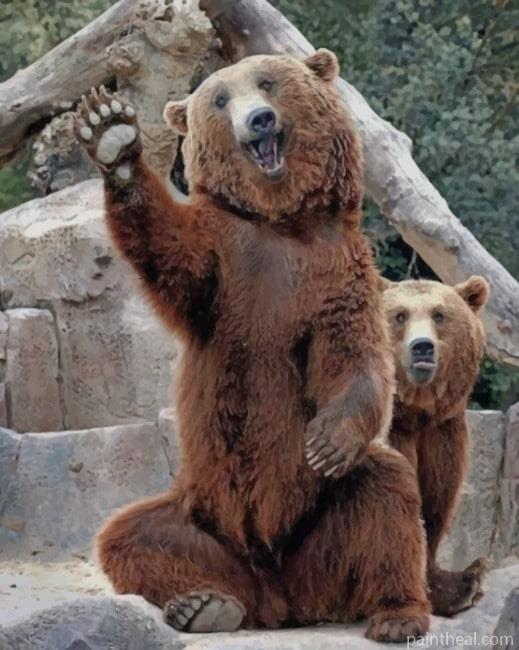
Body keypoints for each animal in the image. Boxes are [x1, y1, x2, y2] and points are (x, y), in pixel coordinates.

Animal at [74, 50, 431, 641]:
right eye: (220, 98)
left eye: (268, 82)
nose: (259, 120)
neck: (279, 221)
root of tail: (280, 598)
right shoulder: (225, 262)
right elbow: (170, 250)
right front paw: (110, 132)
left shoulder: (339, 272)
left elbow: (353, 357)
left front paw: (326, 441)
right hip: (204, 518)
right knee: (132, 536)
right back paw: (203, 606)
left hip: (321, 530)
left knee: (388, 491)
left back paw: (398, 614)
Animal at [381, 276, 490, 616]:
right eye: (400, 315)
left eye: (439, 315)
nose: (422, 347)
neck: (417, 411)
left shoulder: (443, 432)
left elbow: (437, 498)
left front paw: (462, 585)